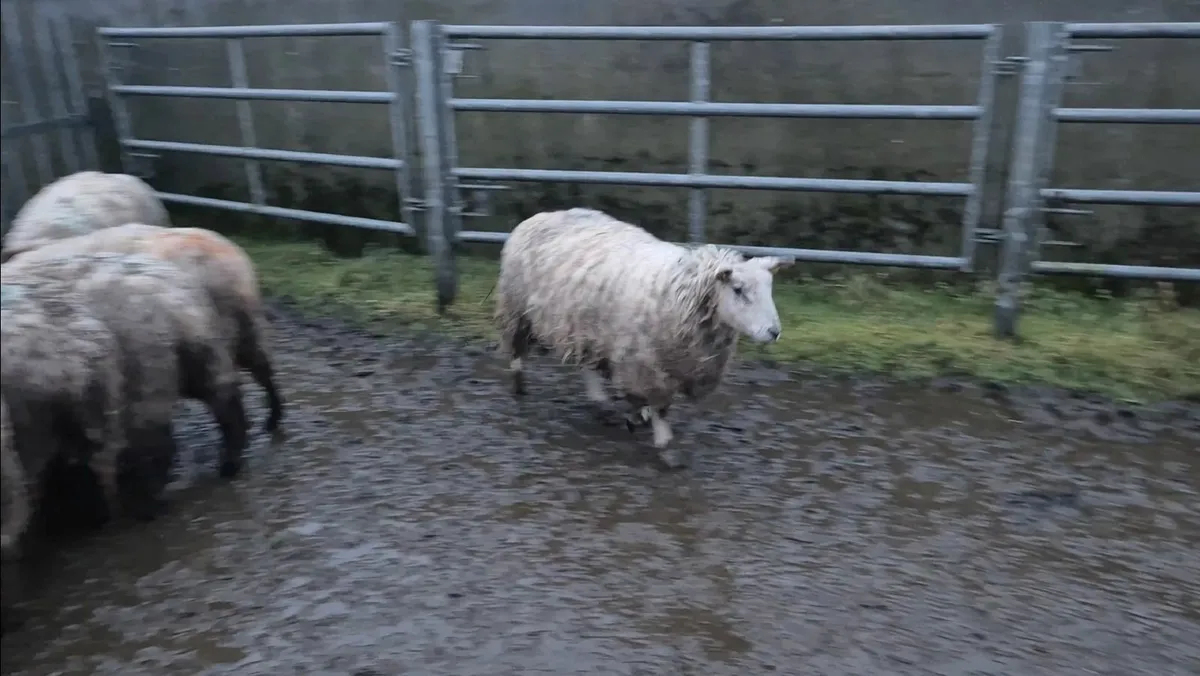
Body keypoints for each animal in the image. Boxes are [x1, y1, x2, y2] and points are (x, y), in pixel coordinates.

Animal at [495, 208, 793, 468]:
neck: (680, 293)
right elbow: (659, 408)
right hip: (517, 308)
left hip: (586, 327)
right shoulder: (644, 364)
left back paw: (601, 403)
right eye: (739, 290)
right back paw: (519, 384)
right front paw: (665, 446)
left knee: (587, 365)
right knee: (517, 348)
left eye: (769, 288)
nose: (774, 332)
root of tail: (541, 215)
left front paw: (638, 416)